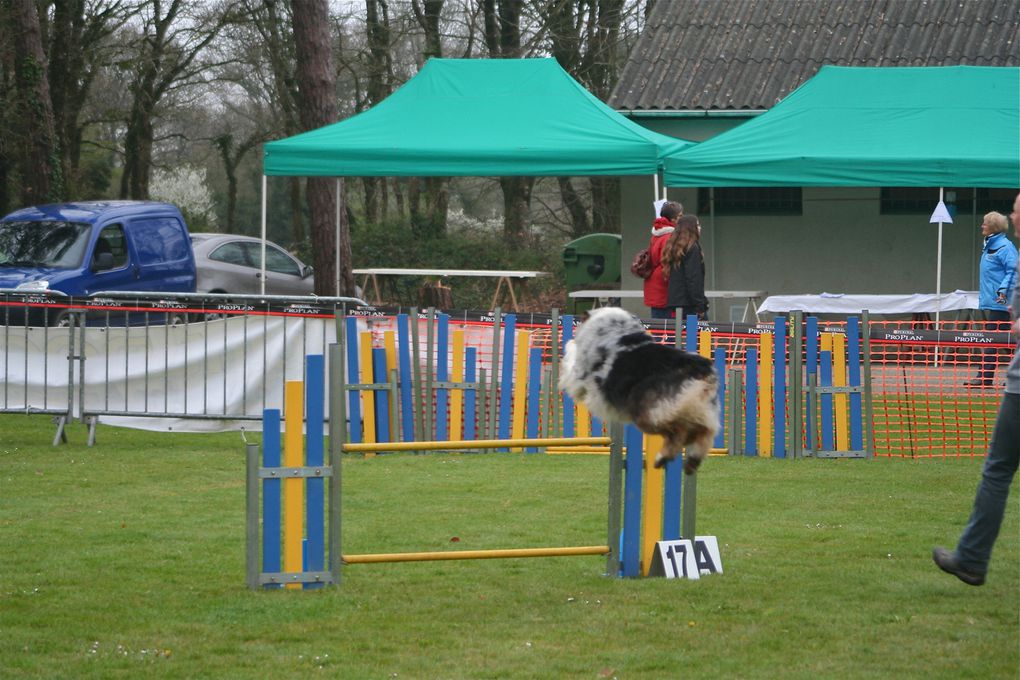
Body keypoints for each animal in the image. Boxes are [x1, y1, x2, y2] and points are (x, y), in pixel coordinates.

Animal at [563, 307, 722, 473]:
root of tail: (700, 368)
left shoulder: (580, 375)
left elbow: (571, 358)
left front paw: (569, 344)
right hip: (701, 411)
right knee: (705, 432)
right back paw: (691, 460)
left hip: (651, 413)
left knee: (679, 431)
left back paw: (663, 457)